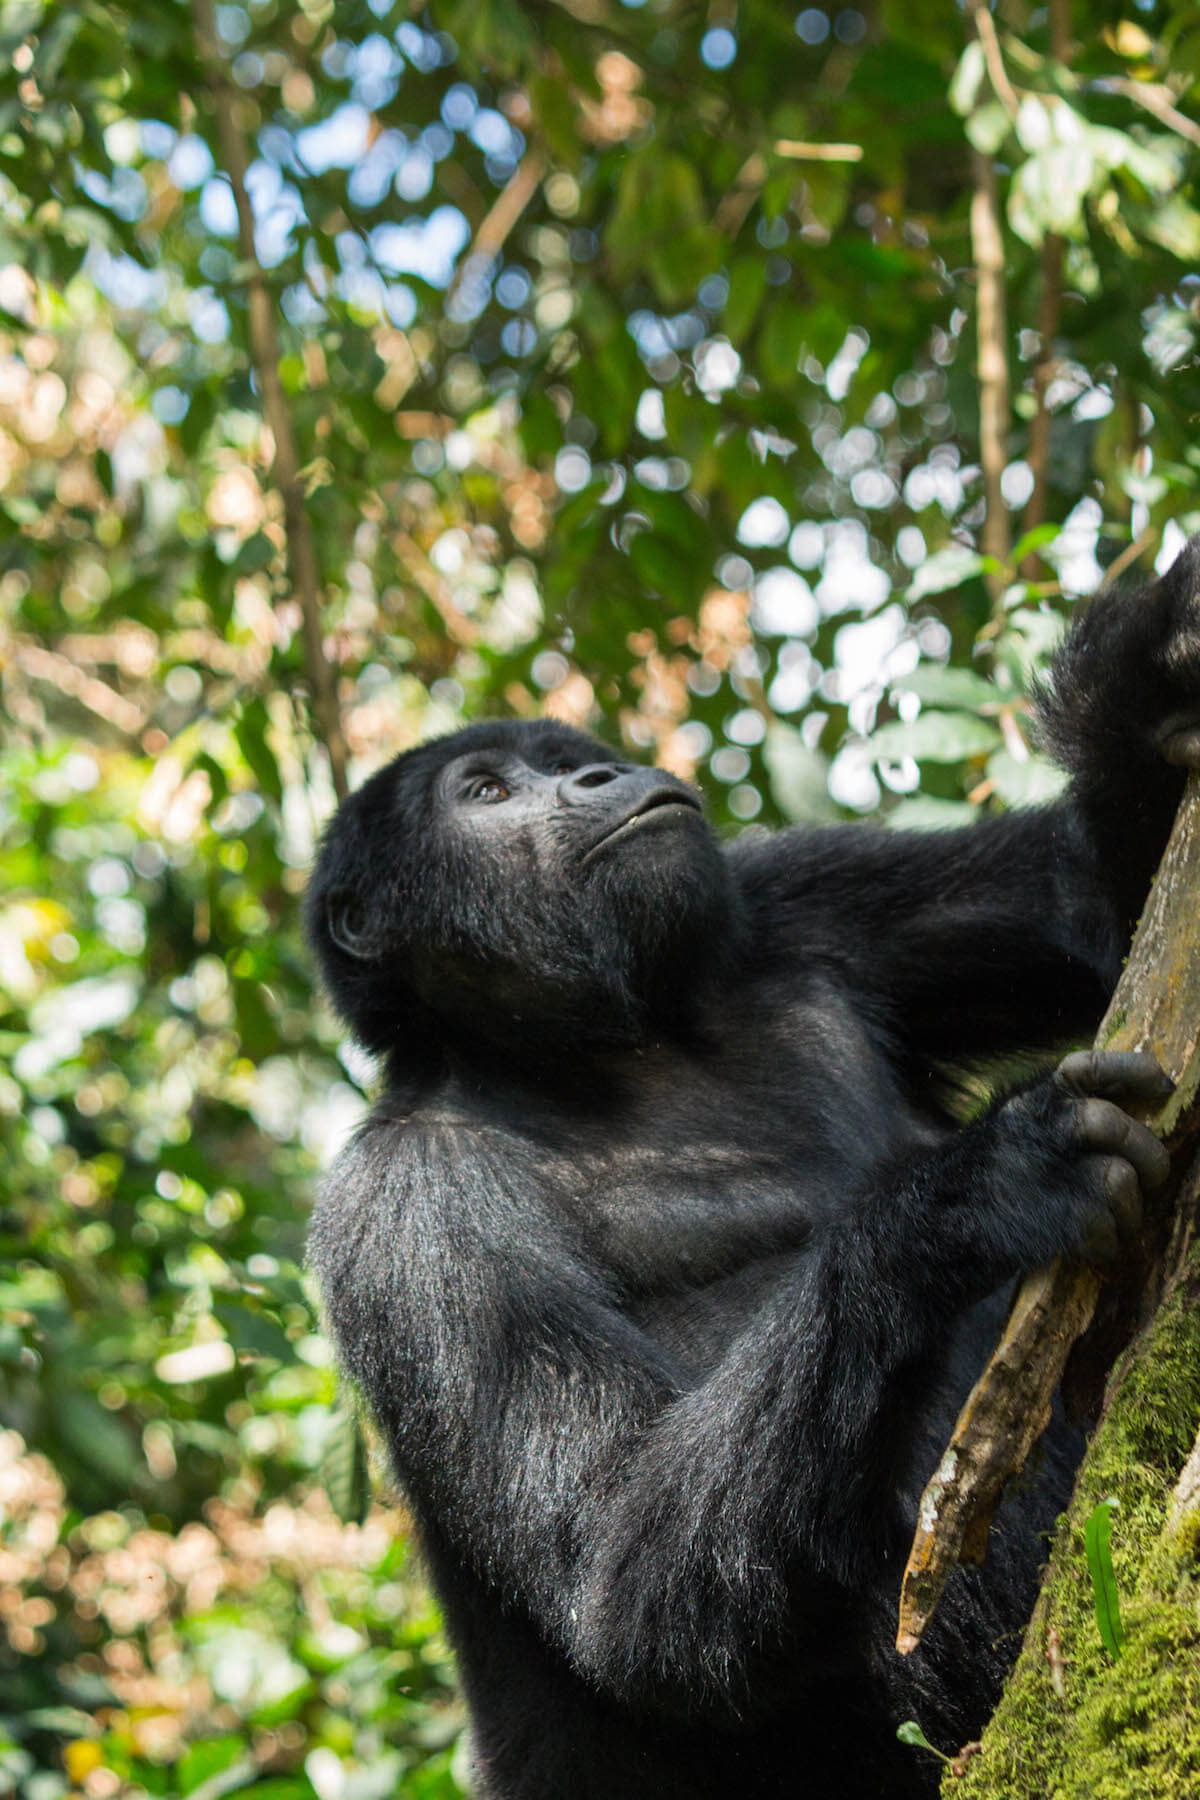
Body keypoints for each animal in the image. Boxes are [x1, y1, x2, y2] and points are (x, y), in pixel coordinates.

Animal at [307, 543, 1200, 1800]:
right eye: (485, 793)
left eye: (566, 761)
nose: (603, 774)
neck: (596, 1046)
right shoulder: (401, 1213)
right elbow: (618, 1576)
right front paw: (970, 1195)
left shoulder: (802, 892)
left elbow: (1100, 916)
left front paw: (1153, 670)